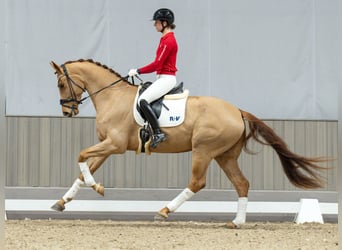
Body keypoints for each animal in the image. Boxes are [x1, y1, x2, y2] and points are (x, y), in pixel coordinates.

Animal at [49, 58, 328, 229]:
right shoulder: (107, 145)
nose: (67, 112)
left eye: (61, 84)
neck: (112, 97)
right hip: (225, 155)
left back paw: (164, 211)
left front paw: (97, 188)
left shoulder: (114, 145)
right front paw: (63, 201)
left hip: (203, 150)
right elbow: (84, 168)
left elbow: (80, 155)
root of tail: (237, 110)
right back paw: (236, 222)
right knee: (241, 183)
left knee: (197, 182)